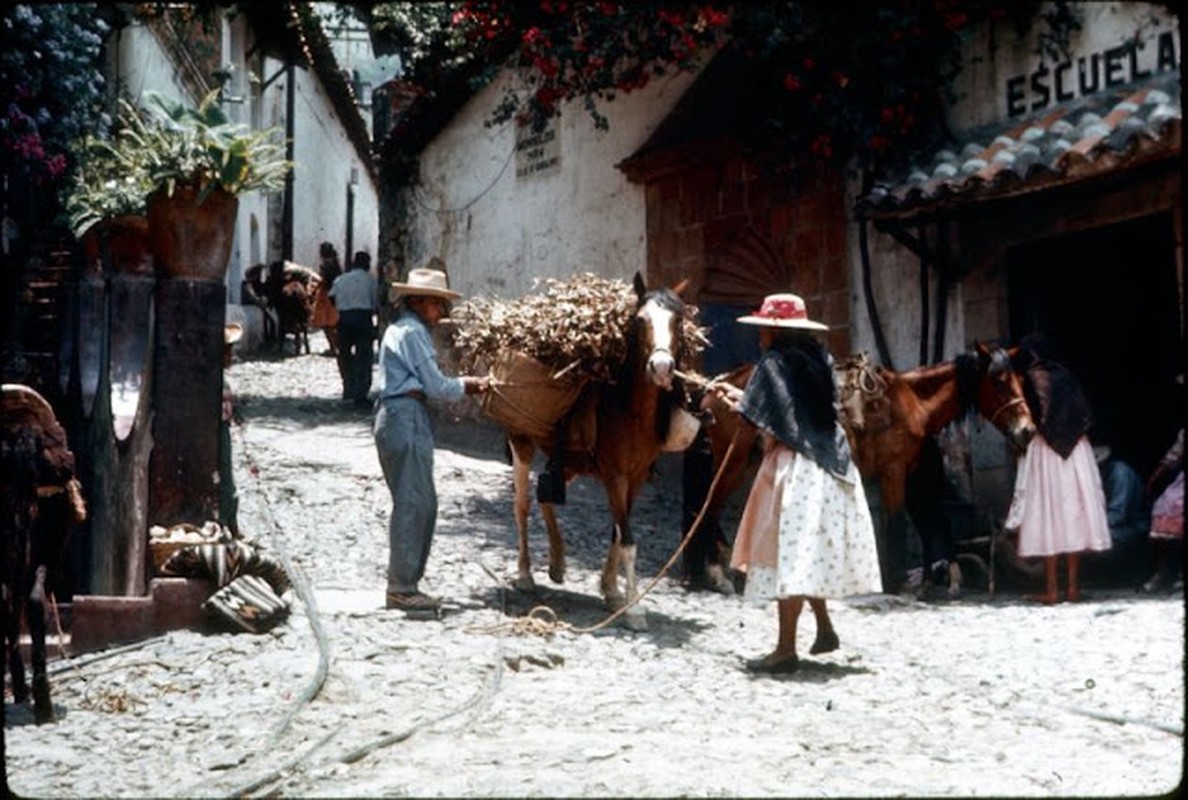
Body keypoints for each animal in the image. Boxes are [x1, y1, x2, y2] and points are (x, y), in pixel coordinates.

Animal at [506, 274, 693, 632]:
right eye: (640, 320)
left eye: (678, 321)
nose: (662, 367)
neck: (629, 411)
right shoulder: (613, 476)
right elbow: (628, 540)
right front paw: (633, 609)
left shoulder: (635, 478)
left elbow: (617, 534)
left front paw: (612, 592)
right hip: (521, 442)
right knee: (522, 505)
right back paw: (525, 574)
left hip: (570, 462)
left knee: (545, 498)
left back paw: (558, 563)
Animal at [698, 344, 1035, 599]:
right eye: (1000, 382)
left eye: (1019, 381)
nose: (1027, 430)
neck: (913, 402)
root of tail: (718, 386)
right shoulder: (894, 473)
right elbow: (896, 524)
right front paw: (896, 584)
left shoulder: (910, 475)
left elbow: (922, 522)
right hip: (733, 463)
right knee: (709, 505)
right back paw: (719, 576)